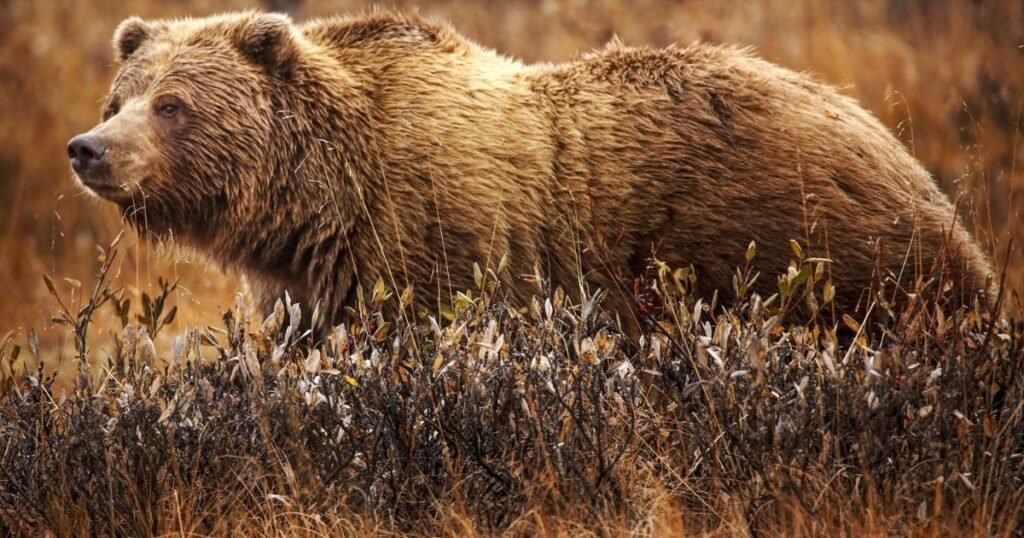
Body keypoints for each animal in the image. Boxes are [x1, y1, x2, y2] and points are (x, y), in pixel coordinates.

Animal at [67, 10, 993, 330]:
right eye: (120, 95)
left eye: (173, 104)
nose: (89, 148)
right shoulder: (314, 282)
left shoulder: (436, 243)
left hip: (816, 251)